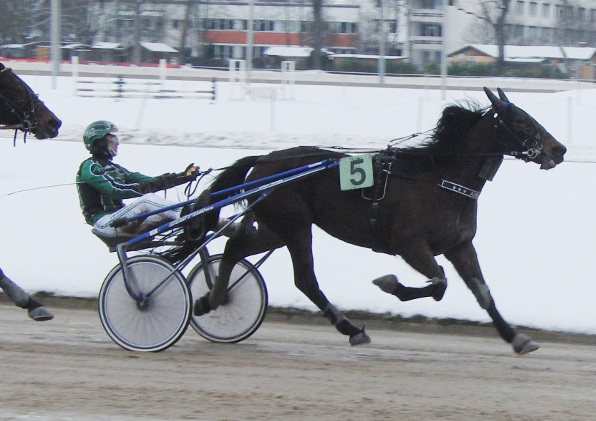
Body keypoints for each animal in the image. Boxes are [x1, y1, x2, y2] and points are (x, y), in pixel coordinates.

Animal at [197, 88, 568, 354]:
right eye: (520, 121)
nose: (559, 149)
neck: (440, 179)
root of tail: (263, 160)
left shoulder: (460, 245)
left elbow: (483, 293)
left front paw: (516, 337)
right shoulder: (410, 243)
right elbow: (439, 283)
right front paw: (390, 284)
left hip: (276, 228)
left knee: (234, 248)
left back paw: (211, 300)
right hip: (295, 225)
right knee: (305, 279)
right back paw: (350, 329)